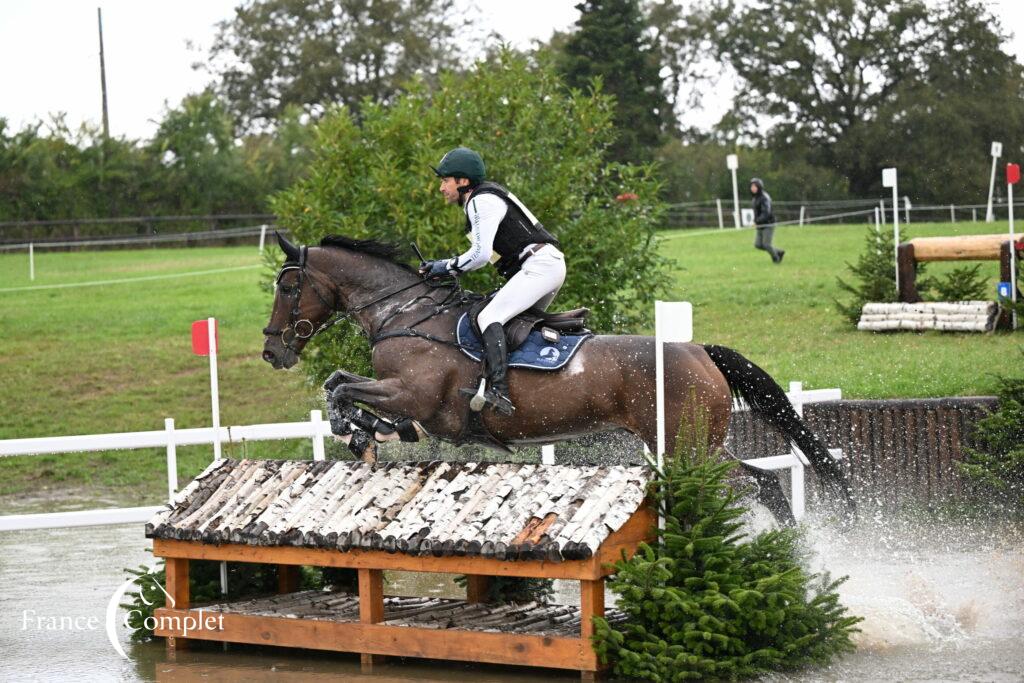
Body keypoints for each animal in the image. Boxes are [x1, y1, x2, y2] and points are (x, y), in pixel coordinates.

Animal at [260, 231, 851, 524]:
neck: (405, 313)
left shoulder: (415, 395)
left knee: (751, 484)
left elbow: (342, 387)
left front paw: (364, 428)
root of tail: (696, 350)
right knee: (765, 482)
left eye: (287, 287)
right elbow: (338, 381)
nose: (272, 350)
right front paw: (372, 430)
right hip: (696, 444)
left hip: (685, 447)